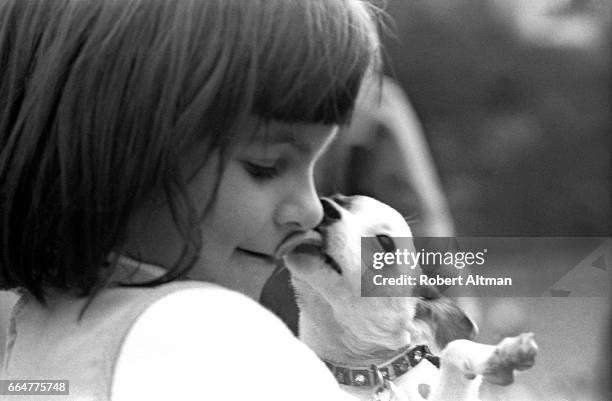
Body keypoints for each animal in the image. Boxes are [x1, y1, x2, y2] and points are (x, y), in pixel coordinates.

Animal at [276, 195, 536, 398]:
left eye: (385, 242)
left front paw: (503, 357)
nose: (325, 207)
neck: (372, 375)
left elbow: (456, 347)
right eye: (341, 200)